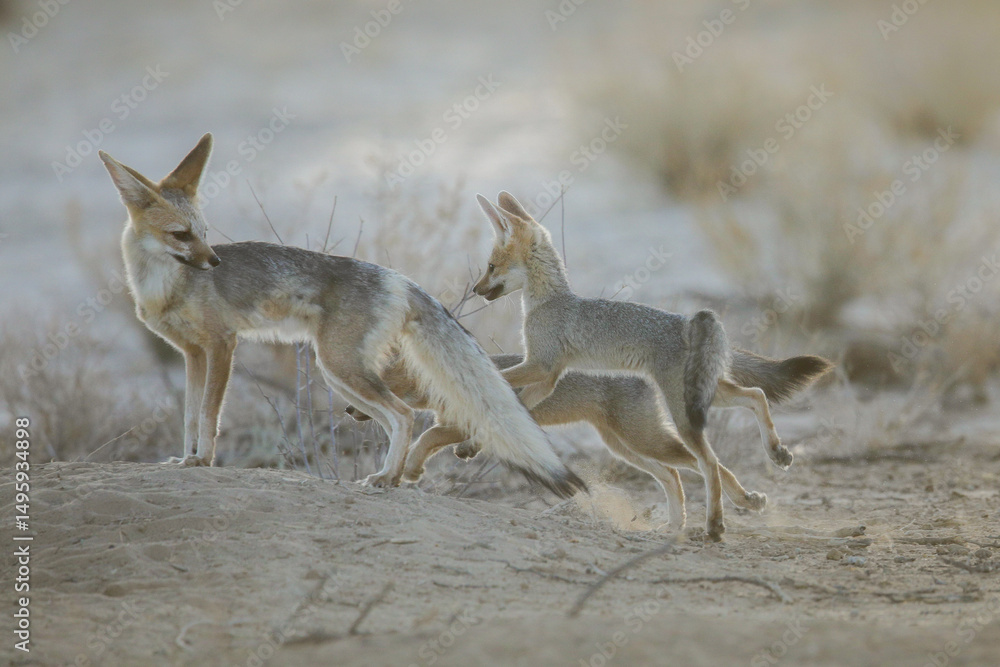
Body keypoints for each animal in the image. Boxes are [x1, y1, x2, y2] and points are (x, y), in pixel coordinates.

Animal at [96, 134, 586, 497]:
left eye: (202, 232)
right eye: (182, 235)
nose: (214, 262)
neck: (162, 287)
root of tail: (398, 277)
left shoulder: (221, 345)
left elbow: (207, 415)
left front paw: (203, 460)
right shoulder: (193, 354)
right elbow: (189, 416)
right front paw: (187, 458)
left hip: (338, 367)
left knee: (404, 414)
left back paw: (387, 477)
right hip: (340, 376)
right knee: (397, 418)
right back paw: (394, 475)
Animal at [346, 350, 829, 530]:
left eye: (376, 376)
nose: (350, 411)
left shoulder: (465, 424)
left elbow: (427, 434)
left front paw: (410, 469)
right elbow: (438, 436)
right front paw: (421, 466)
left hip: (643, 441)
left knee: (712, 461)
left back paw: (747, 497)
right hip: (628, 448)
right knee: (677, 474)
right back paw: (676, 524)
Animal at [470, 192, 833, 540]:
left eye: (490, 266)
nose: (474, 289)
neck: (548, 301)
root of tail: (688, 321)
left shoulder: (542, 366)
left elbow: (501, 376)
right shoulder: (547, 377)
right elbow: (515, 396)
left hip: (676, 419)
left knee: (709, 462)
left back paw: (714, 524)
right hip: (691, 405)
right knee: (754, 395)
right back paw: (774, 454)